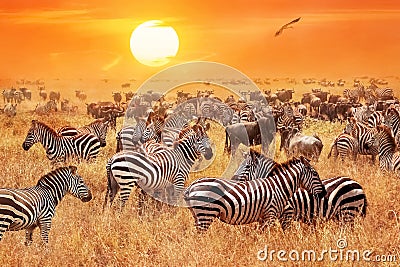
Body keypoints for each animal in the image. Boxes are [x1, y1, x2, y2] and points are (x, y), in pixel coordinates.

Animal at [183, 157, 326, 232]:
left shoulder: (264, 217)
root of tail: (192, 186)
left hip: (198, 215)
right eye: (315, 174)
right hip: (206, 213)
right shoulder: (270, 214)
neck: (279, 187)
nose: (324, 193)